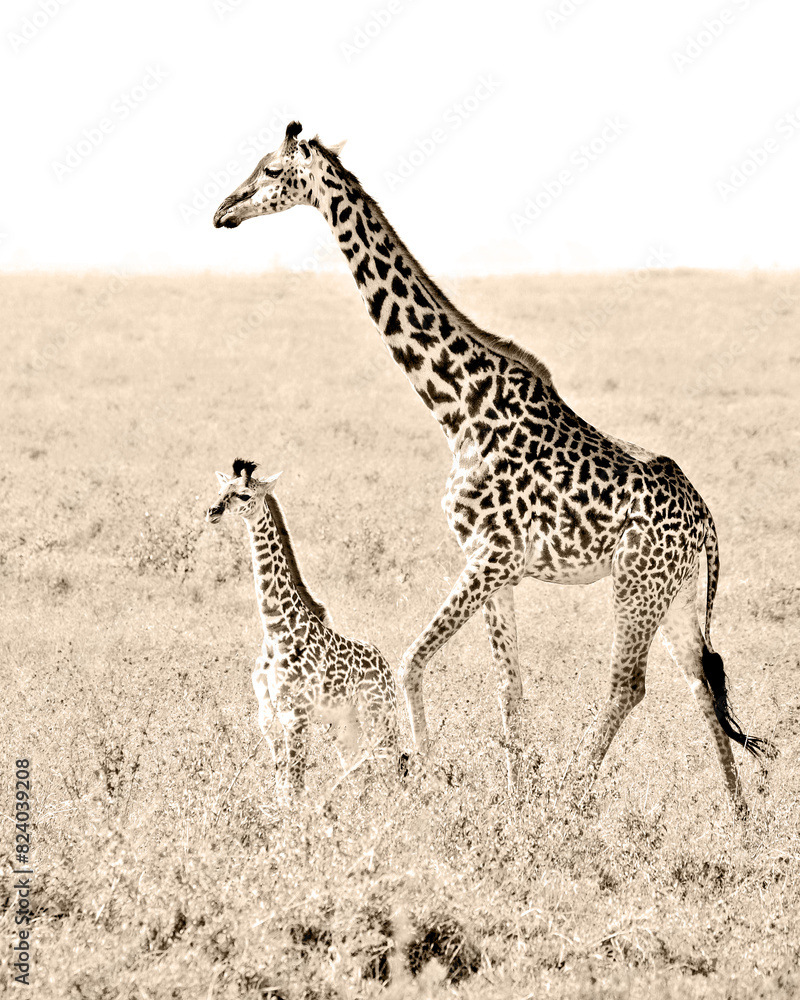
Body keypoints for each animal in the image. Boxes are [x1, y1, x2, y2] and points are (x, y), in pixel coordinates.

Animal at [206, 459, 399, 799]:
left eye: (243, 495)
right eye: (220, 490)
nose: (213, 511)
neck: (276, 629)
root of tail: (385, 664)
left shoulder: (296, 715)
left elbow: (295, 786)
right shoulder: (267, 716)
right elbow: (282, 785)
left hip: (379, 715)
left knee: (396, 767)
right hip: (344, 723)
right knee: (359, 774)